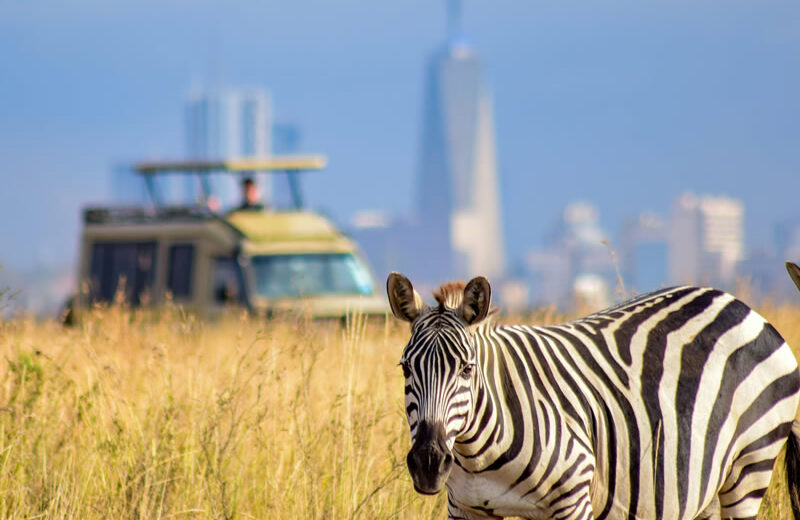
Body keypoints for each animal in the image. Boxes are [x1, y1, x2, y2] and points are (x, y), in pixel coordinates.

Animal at [388, 272, 800, 520]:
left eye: (467, 369)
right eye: (405, 369)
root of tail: (739, 304)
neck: (478, 456)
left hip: (751, 464)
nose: (428, 463)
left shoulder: (573, 502)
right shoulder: (467, 508)